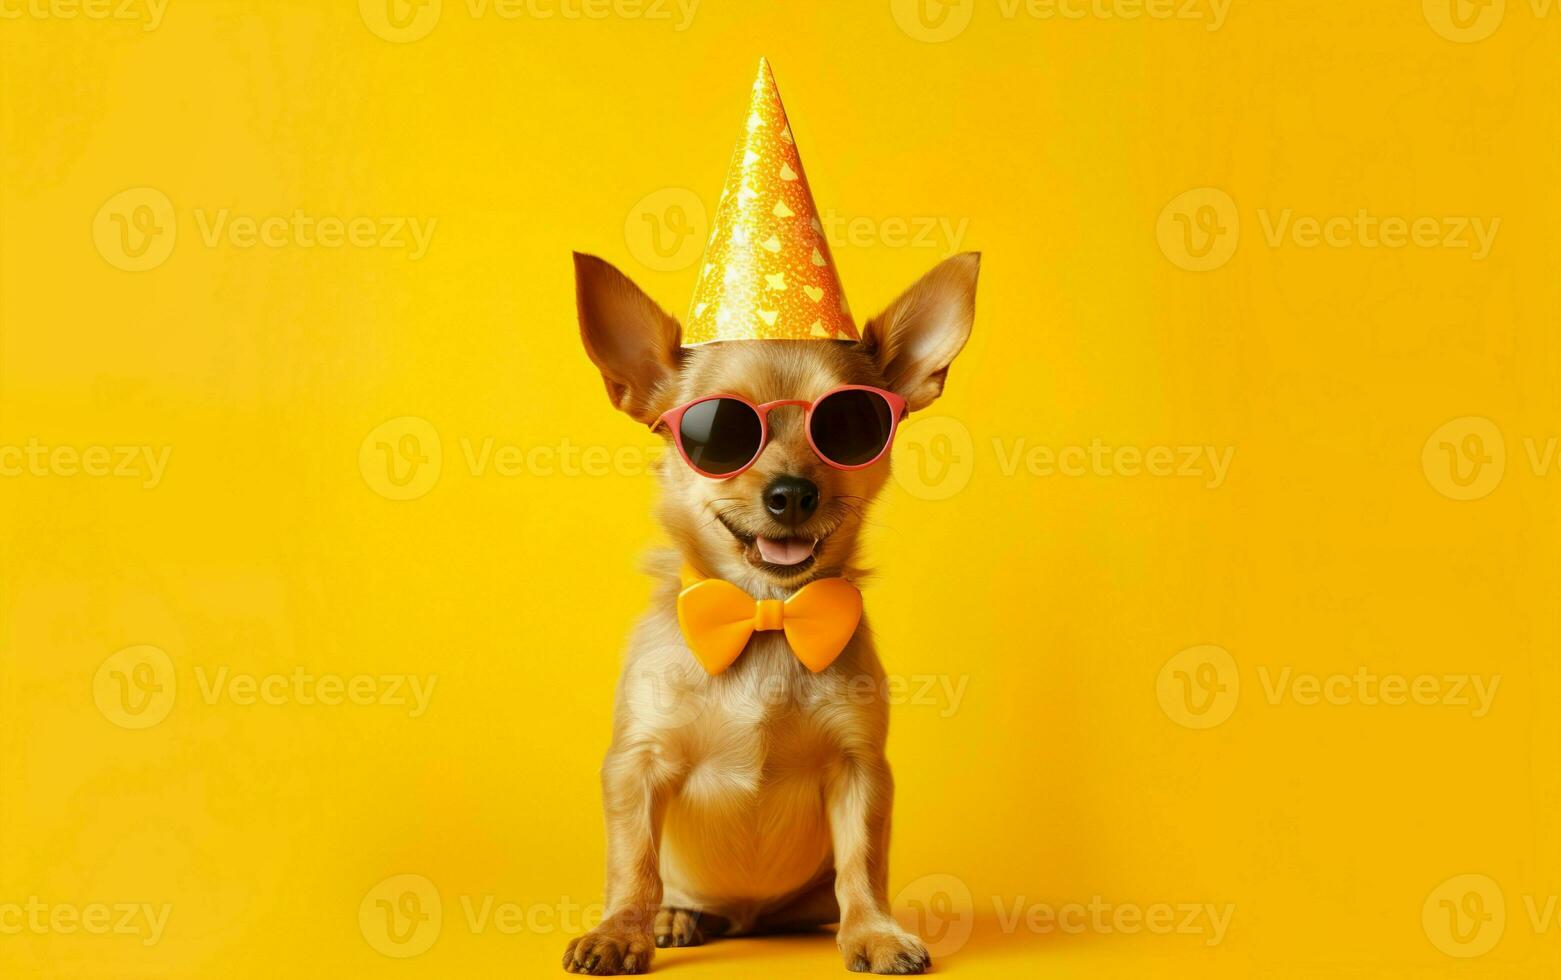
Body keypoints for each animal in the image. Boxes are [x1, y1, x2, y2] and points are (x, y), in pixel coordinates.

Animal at [561, 248, 974, 973]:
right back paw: (673, 917)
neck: (766, 614)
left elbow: (863, 866)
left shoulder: (859, 771)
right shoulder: (637, 766)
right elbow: (633, 865)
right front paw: (619, 932)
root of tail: (745, 918)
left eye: (850, 428)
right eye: (719, 435)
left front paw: (874, 933)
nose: (791, 494)